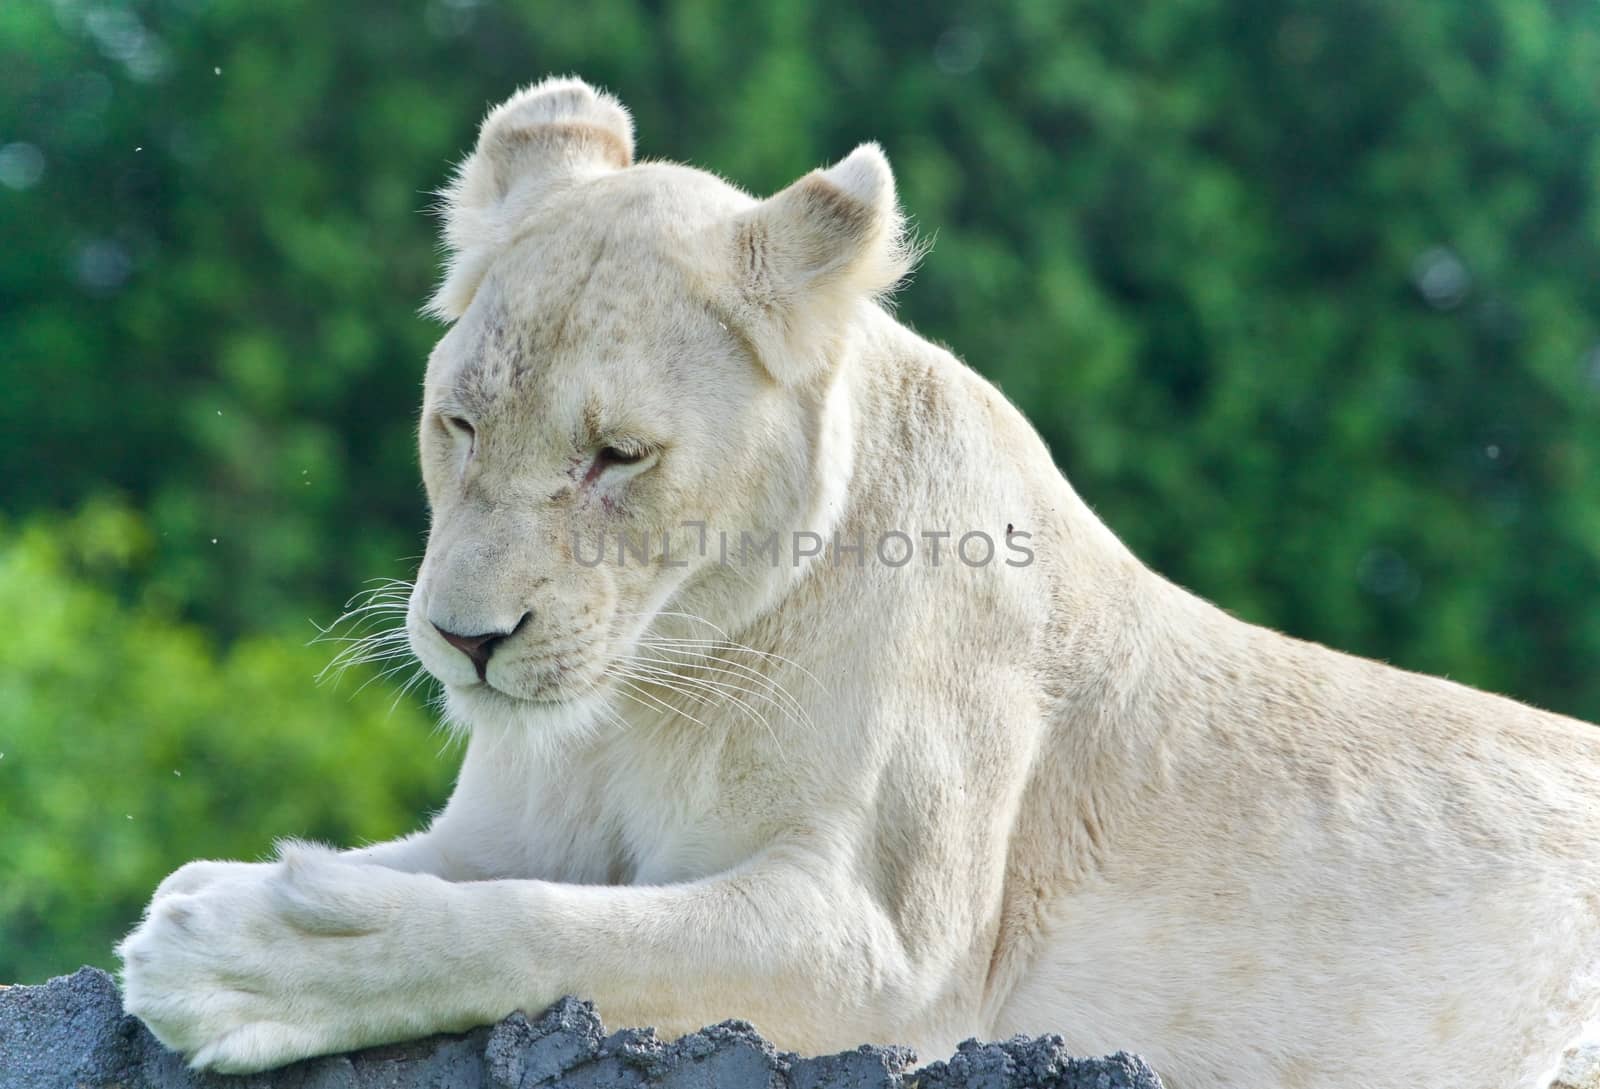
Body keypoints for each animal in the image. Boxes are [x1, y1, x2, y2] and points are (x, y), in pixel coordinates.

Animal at [118, 78, 1600, 1087]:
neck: (651, 694)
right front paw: (203, 894)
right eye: (460, 424)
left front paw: (225, 949)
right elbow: (475, 881)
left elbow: (557, 928)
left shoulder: (895, 960)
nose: (465, 640)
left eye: (617, 456)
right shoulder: (501, 827)